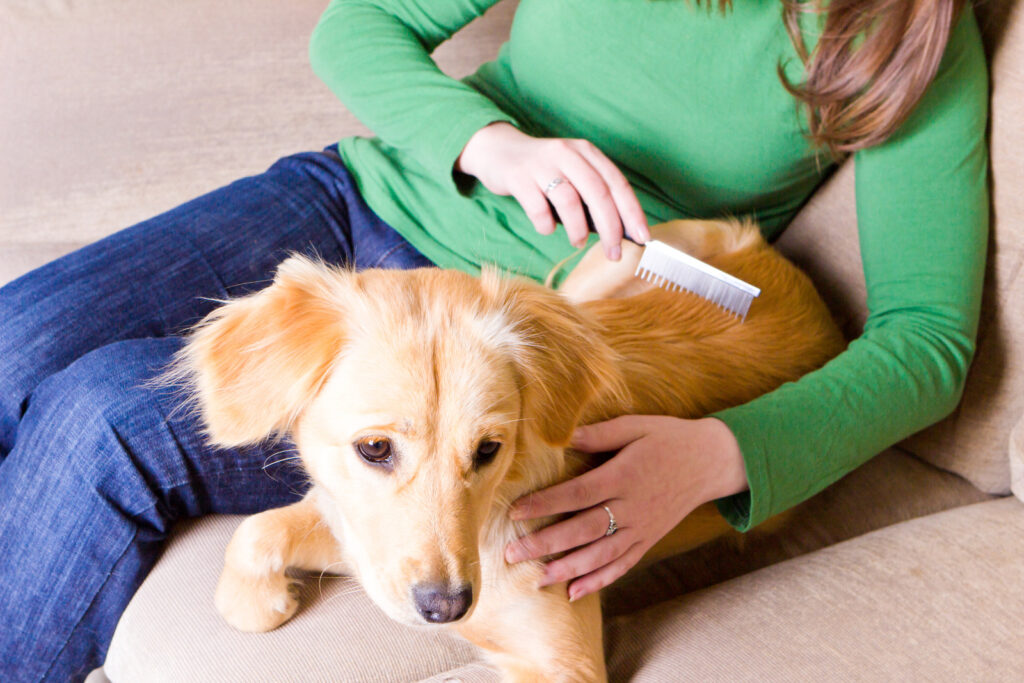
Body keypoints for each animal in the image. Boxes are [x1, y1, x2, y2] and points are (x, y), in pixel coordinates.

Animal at [172, 220, 843, 683]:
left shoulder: (564, 662)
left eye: (489, 449)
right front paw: (256, 602)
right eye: (374, 448)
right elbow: (255, 531)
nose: (446, 608)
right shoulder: (358, 533)